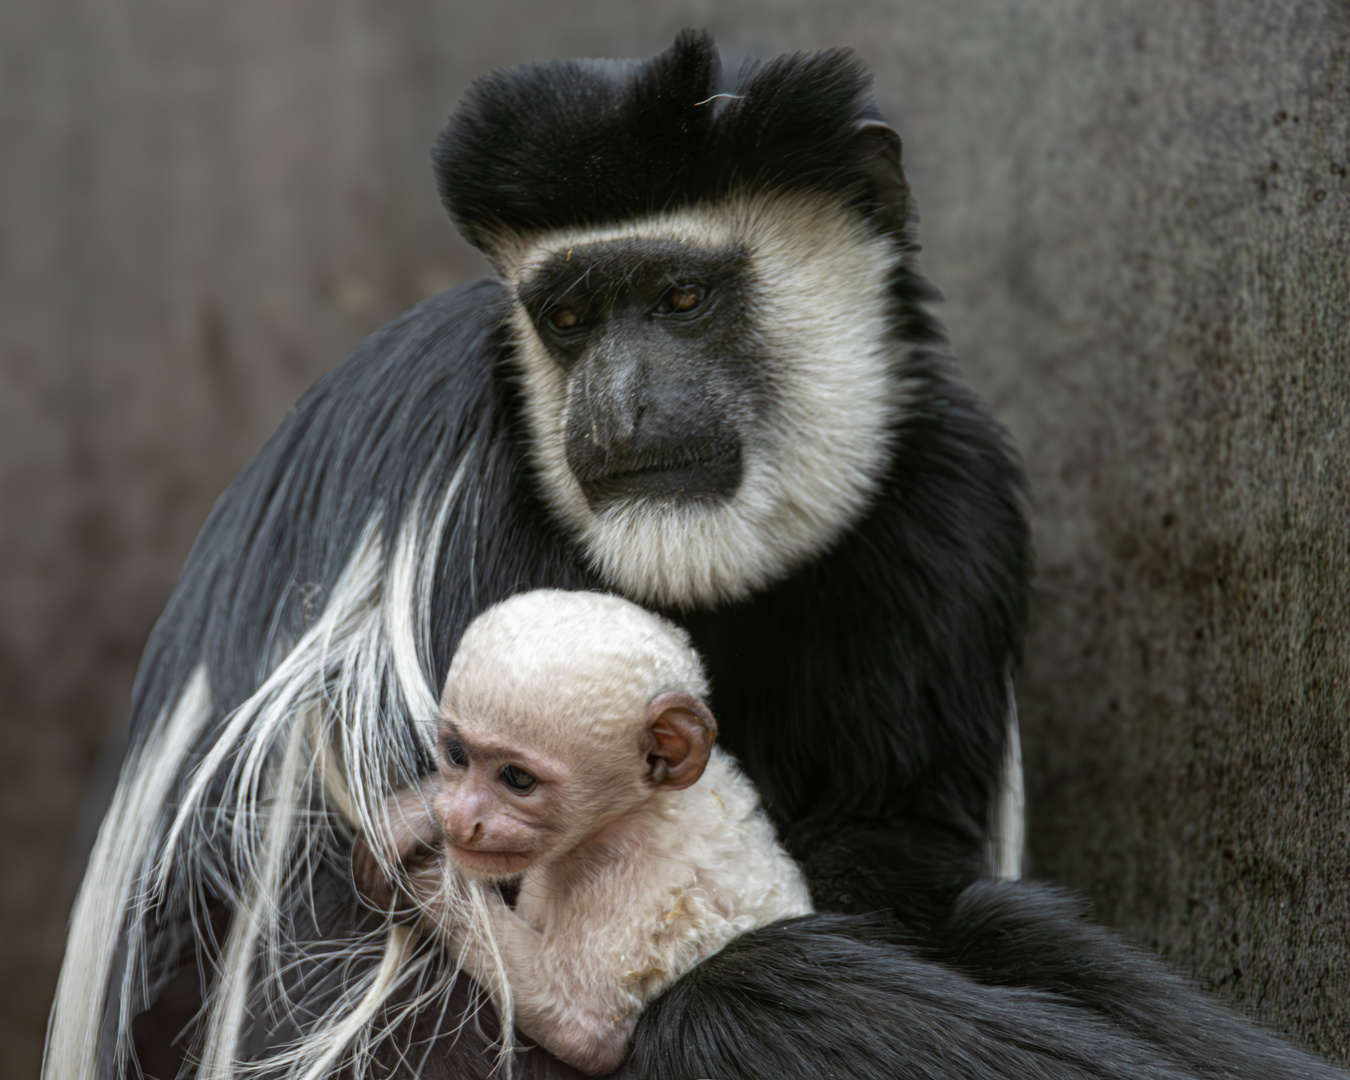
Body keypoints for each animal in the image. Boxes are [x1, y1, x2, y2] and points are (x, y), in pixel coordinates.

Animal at [353, 591, 810, 1080]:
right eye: (457, 755)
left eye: (517, 778)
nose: (459, 821)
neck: (638, 808)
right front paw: (411, 818)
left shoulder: (630, 878)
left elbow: (581, 1028)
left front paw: (415, 877)